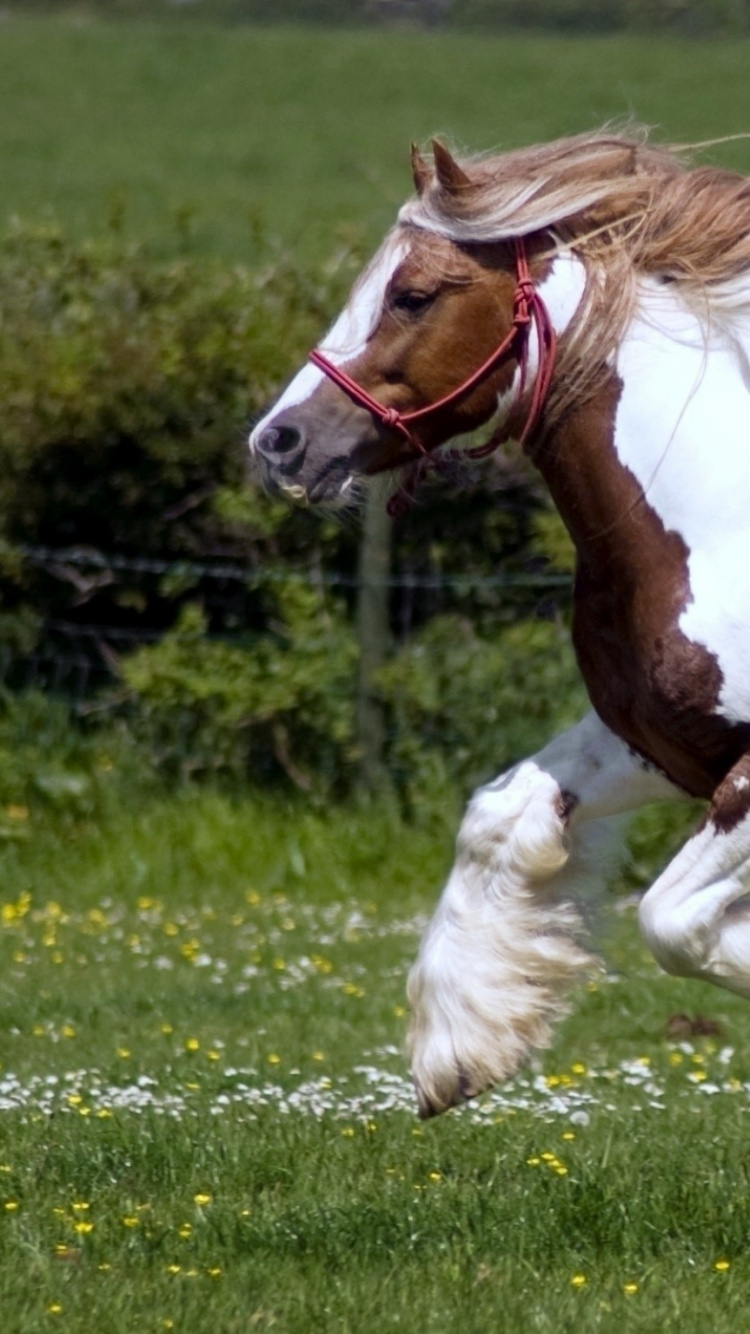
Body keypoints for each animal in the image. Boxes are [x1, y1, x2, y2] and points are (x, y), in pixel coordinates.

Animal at [248, 130, 747, 1120]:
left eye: (411, 293)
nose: (277, 443)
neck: (723, 529)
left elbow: (670, 921)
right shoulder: (658, 744)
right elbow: (501, 815)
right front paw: (458, 1053)